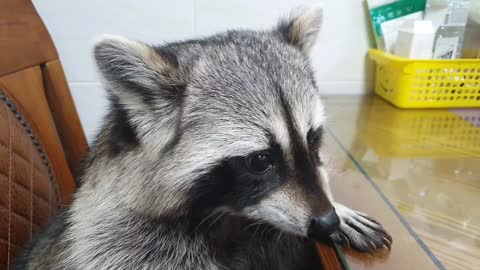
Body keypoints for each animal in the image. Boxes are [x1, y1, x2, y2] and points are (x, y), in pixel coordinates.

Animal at [15, 6, 392, 270]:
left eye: (312, 140)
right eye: (260, 160)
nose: (327, 221)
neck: (229, 216)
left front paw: (339, 209)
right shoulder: (126, 242)